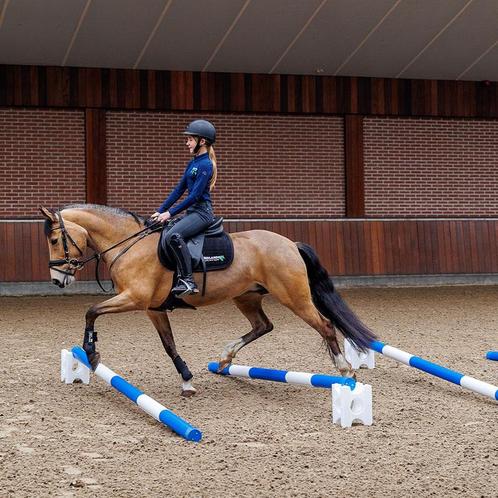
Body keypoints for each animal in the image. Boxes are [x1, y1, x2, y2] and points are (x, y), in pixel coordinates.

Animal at [40, 203, 376, 396]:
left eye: (56, 239)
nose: (58, 279)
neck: (130, 245)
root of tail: (289, 243)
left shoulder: (134, 299)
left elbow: (91, 311)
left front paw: (91, 353)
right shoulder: (152, 308)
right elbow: (169, 344)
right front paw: (187, 380)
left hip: (294, 297)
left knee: (325, 325)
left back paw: (345, 370)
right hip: (246, 297)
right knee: (263, 325)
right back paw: (226, 358)